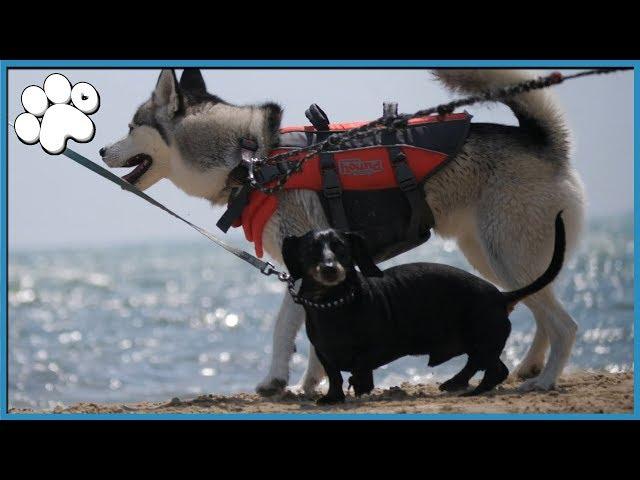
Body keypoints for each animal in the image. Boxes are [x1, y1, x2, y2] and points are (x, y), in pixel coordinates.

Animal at [100, 68, 584, 398]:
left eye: (131, 127)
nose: (102, 150)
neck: (253, 158)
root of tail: (545, 142)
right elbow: (315, 339)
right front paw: (314, 384)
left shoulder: (300, 268)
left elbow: (283, 329)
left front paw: (275, 381)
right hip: (490, 253)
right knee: (539, 305)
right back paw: (528, 367)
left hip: (504, 251)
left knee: (565, 323)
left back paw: (543, 380)